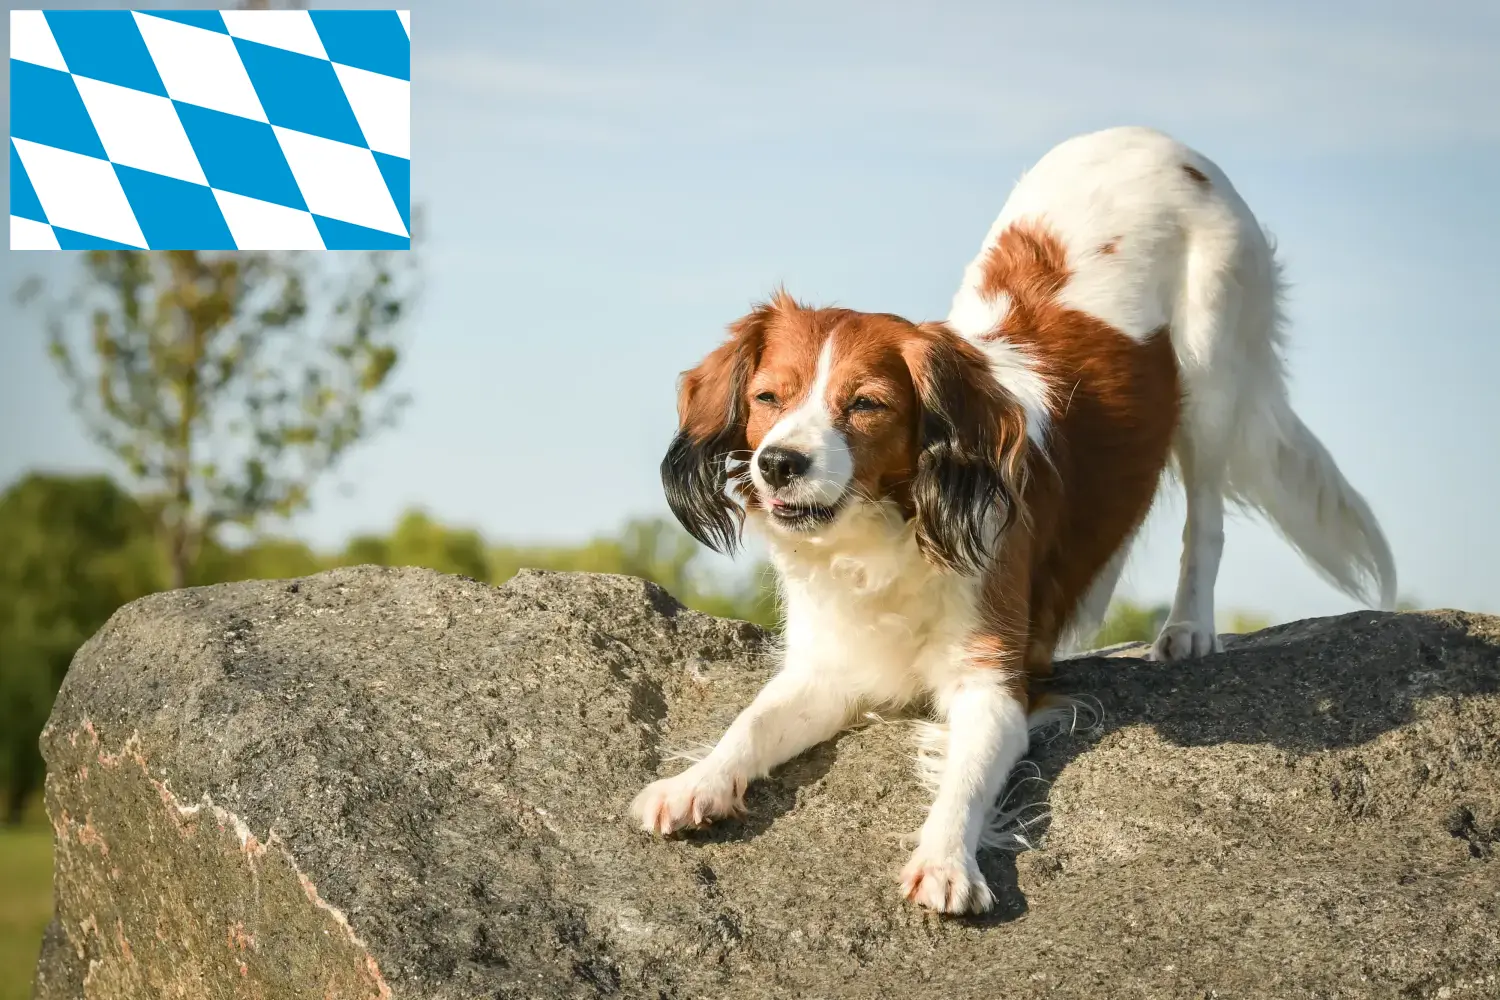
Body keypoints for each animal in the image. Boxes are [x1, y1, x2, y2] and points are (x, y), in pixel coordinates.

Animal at [630, 125, 1392, 917]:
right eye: (768, 398)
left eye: (865, 404)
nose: (778, 463)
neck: (890, 533)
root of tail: (1153, 137)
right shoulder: (828, 669)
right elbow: (750, 723)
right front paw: (695, 784)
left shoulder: (994, 685)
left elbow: (965, 781)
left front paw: (946, 860)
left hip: (1210, 373)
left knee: (1205, 517)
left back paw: (1188, 628)